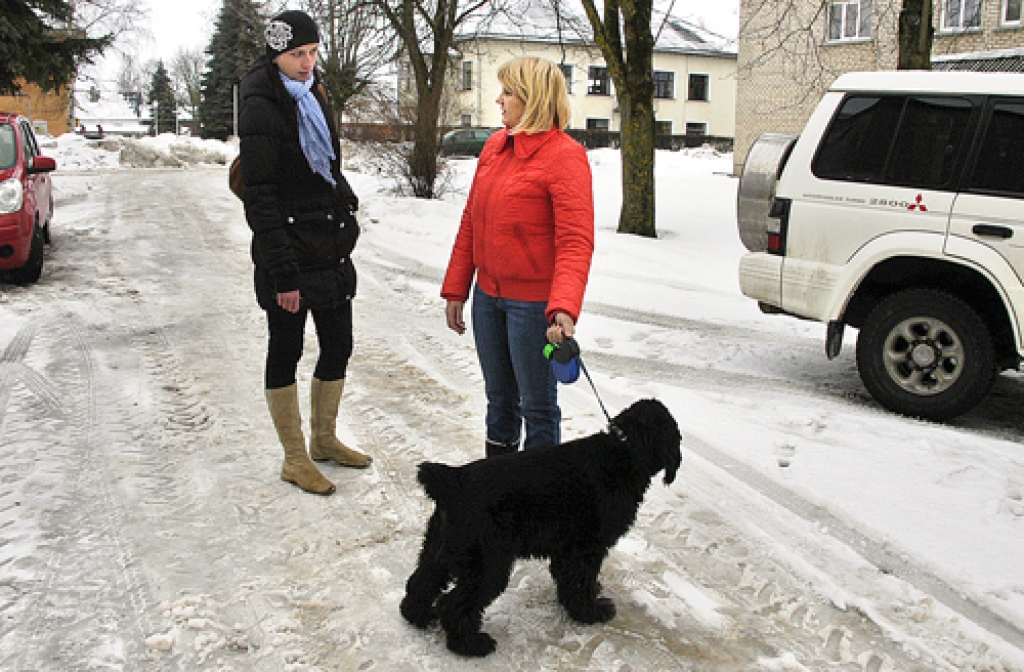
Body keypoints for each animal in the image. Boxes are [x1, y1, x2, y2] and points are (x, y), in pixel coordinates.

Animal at [397, 399, 679, 655]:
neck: (625, 449)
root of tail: (453, 482)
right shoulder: (588, 548)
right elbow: (581, 582)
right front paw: (591, 612)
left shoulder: (568, 548)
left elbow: (569, 578)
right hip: (488, 565)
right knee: (453, 604)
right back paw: (471, 644)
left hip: (439, 549)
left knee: (421, 581)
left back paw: (419, 616)